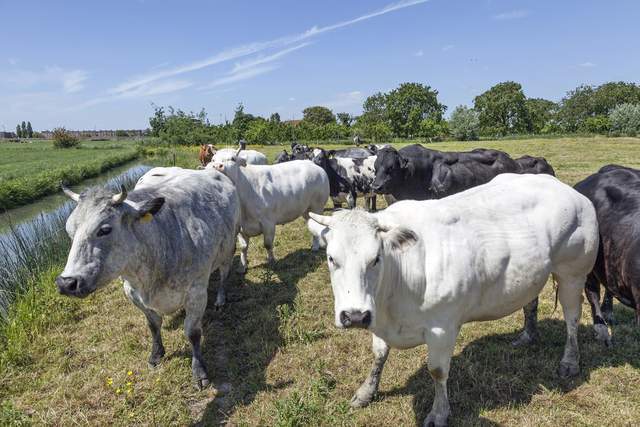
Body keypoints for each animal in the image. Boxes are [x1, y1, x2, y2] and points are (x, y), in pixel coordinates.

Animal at [57, 167, 240, 388]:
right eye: (69, 231)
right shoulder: (131, 292)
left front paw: (199, 371)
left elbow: (192, 332)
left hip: (229, 248)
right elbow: (153, 325)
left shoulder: (196, 293)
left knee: (224, 274)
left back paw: (221, 299)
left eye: (105, 229)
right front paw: (156, 354)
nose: (67, 282)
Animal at [310, 175, 600, 427]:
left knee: (572, 318)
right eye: (331, 258)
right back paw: (527, 335)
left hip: (573, 273)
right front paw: (365, 393)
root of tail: (565, 188)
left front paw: (439, 413)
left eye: (375, 258)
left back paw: (570, 361)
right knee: (531, 301)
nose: (354, 316)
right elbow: (379, 355)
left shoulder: (442, 328)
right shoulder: (377, 318)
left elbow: (437, 371)